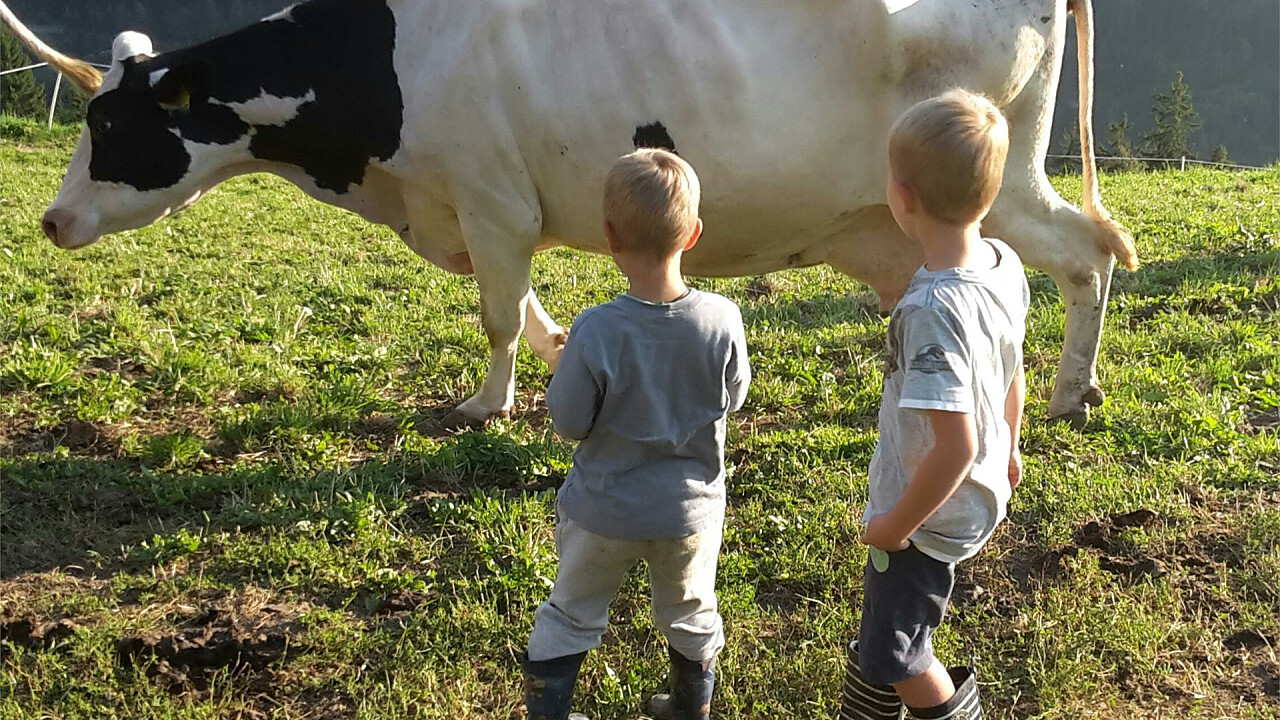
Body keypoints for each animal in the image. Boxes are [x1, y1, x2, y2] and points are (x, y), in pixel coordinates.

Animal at [0, 0, 1136, 428]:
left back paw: (1070, 389)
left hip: (997, 181)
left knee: (1086, 252)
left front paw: (486, 403)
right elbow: (525, 311)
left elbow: (498, 313)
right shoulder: (473, 209)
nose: (52, 222)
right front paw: (548, 370)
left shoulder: (491, 198)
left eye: (112, 125)